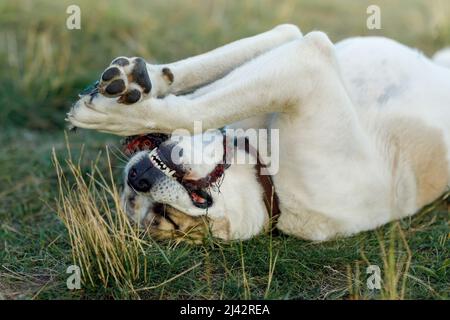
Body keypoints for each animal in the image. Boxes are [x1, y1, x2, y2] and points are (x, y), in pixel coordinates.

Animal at [67, 24, 450, 240]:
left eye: (166, 219)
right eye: (142, 208)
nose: (138, 180)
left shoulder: (307, 64)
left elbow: (194, 106)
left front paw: (117, 111)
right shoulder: (298, 56)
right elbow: (213, 85)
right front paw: (143, 83)